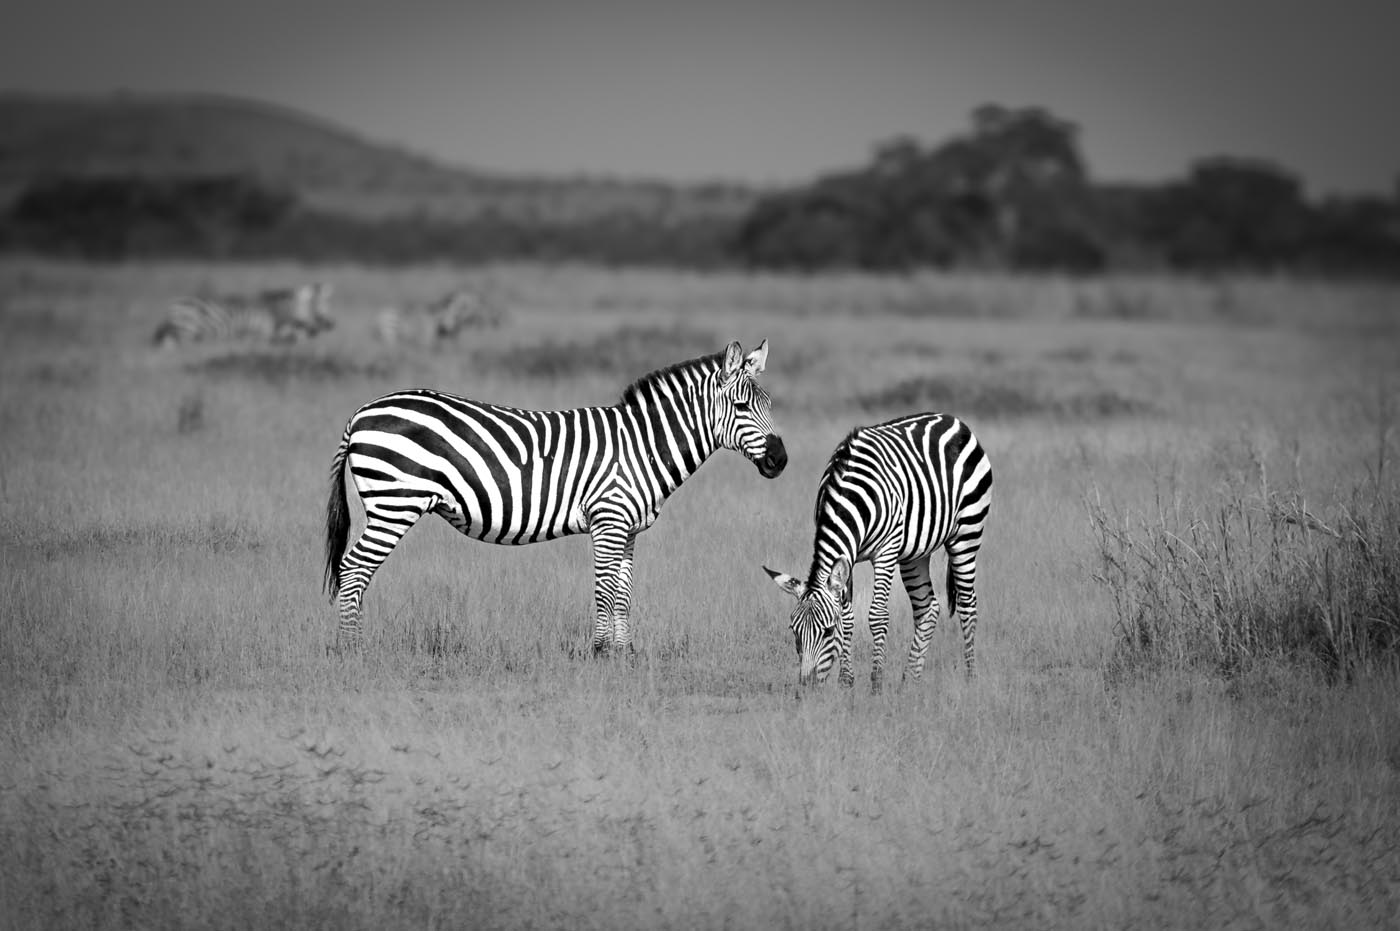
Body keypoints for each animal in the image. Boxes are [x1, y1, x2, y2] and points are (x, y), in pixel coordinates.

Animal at [154, 282, 334, 347]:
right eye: (314, 305)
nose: (331, 324)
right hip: (187, 329)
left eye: (327, 304)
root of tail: (174, 304)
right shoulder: (263, 332)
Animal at [324, 339, 787, 652]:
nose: (780, 460)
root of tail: (361, 413)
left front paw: (625, 656)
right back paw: (353, 651)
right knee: (354, 569)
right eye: (742, 407)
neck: (642, 446)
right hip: (394, 503)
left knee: (353, 570)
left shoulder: (629, 529)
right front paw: (599, 654)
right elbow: (605, 591)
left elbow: (625, 594)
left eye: (769, 404)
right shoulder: (608, 521)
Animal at [764, 412, 992, 690]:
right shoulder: (847, 556)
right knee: (927, 609)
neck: (848, 498)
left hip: (967, 533)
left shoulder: (886, 551)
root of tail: (954, 420)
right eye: (793, 630)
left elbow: (878, 615)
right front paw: (846, 680)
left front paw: (876, 682)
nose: (806, 686)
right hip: (916, 552)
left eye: (827, 631)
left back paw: (970, 677)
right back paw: (909, 680)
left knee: (968, 604)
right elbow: (848, 615)